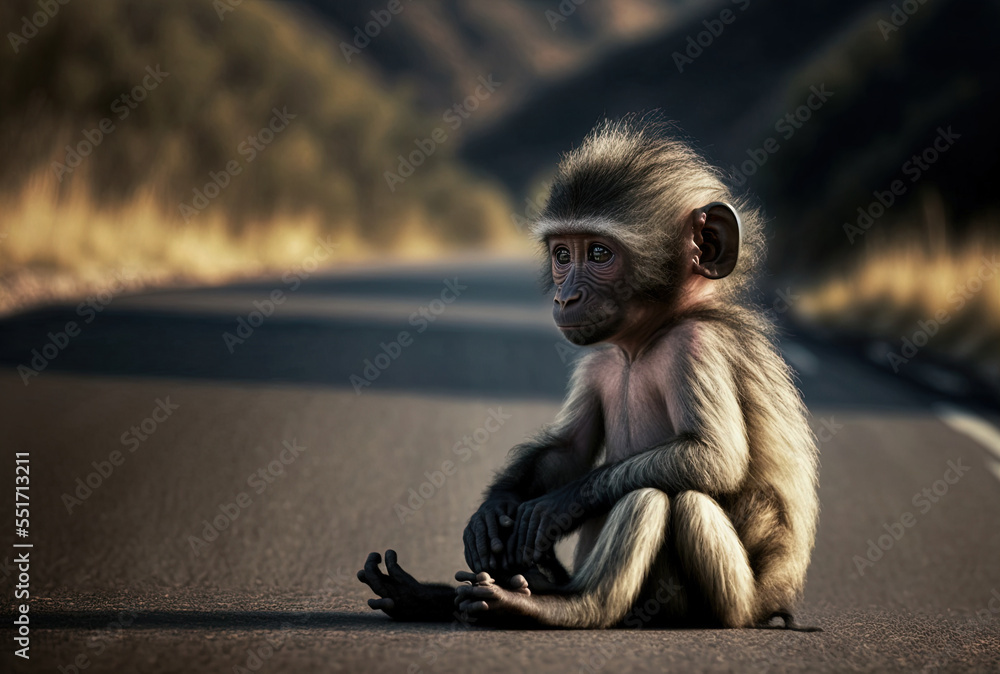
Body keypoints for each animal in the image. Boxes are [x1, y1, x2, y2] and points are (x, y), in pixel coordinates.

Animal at [360, 117, 820, 632]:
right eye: (563, 255)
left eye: (599, 254)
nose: (566, 297)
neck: (645, 341)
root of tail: (775, 607)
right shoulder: (597, 360)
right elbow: (569, 448)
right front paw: (495, 507)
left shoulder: (696, 345)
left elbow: (713, 456)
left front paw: (553, 508)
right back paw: (457, 592)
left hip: (734, 603)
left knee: (661, 496)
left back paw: (556, 606)